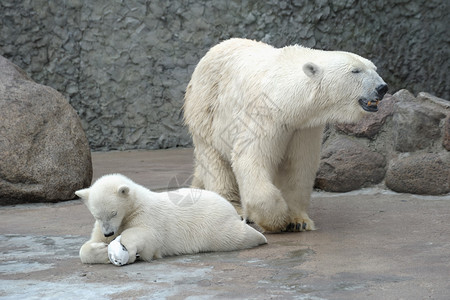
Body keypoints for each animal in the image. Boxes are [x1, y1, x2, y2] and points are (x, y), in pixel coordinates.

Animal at [183, 38, 386, 232]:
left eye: (374, 68)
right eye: (356, 71)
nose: (382, 87)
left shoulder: (303, 127)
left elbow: (297, 166)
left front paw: (298, 221)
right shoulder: (265, 116)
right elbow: (252, 158)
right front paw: (276, 220)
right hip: (207, 109)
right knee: (215, 162)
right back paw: (235, 210)